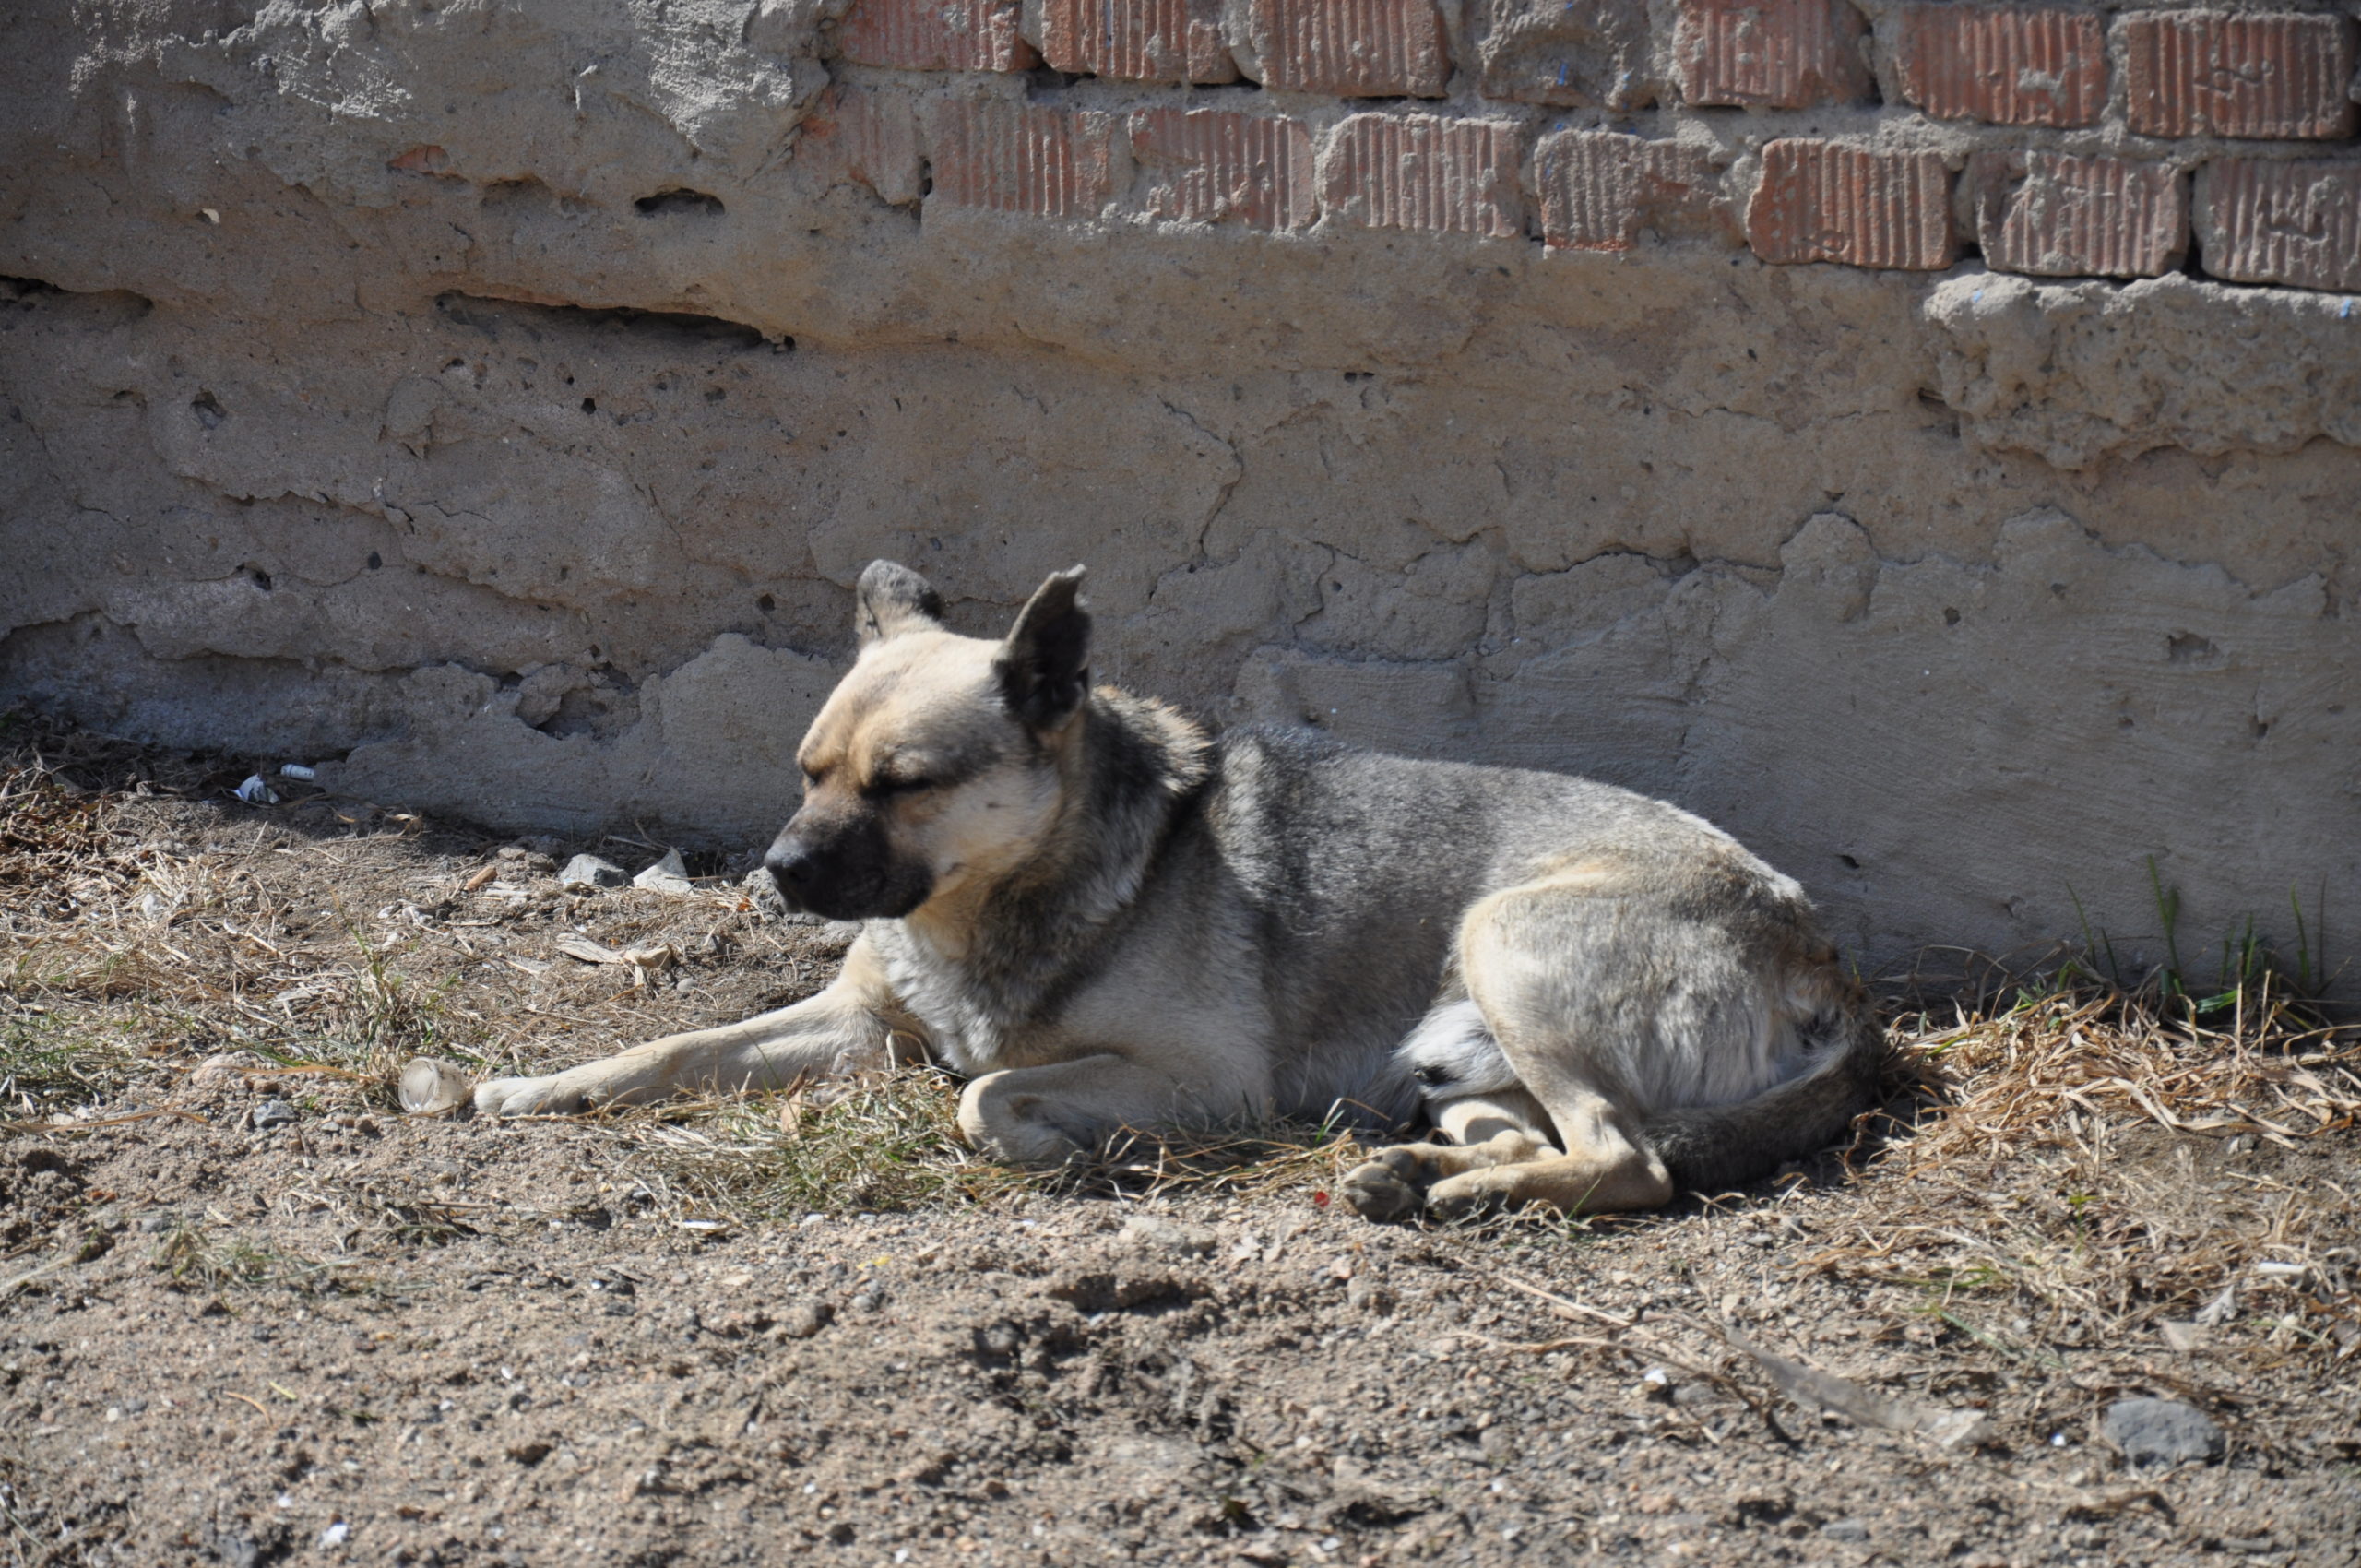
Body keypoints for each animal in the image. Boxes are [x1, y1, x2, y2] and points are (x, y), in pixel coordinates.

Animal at [479, 564, 1879, 1228]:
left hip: (1506, 939)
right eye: (807, 771)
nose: (777, 870)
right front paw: (533, 1088)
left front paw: (1064, 1145)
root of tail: (1821, 957)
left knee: (1629, 1161)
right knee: (1550, 1139)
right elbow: (667, 1048)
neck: (994, 899)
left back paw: (1456, 1194)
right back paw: (1418, 1174)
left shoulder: (1205, 1078)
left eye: (904, 784)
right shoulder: (858, 1021)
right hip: (1458, 1053)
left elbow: (985, 1093)